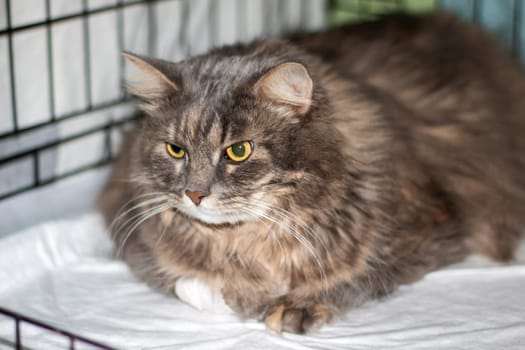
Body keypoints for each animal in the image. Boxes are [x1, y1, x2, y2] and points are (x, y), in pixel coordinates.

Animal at [97, 11, 524, 334]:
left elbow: (359, 277)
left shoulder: (431, 236)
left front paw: (297, 305)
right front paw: (246, 294)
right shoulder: (136, 243)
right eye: (176, 150)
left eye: (238, 151)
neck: (247, 238)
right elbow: (196, 283)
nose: (194, 194)